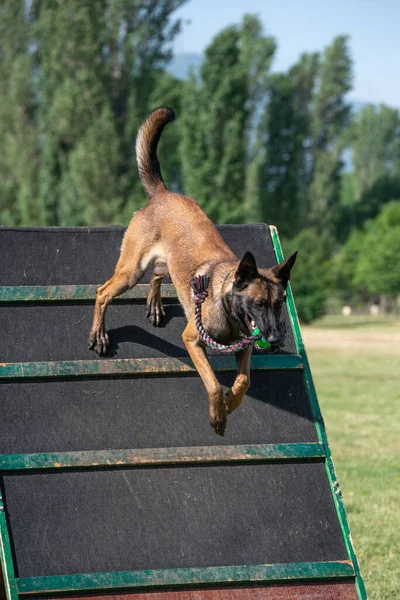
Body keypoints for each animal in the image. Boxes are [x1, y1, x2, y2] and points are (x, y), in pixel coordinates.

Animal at [90, 106, 296, 436]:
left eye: (279, 305)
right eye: (258, 304)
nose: (276, 340)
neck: (227, 305)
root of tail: (162, 194)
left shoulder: (244, 349)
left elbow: (244, 380)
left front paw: (232, 401)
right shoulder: (192, 340)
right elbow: (211, 383)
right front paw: (219, 414)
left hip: (162, 262)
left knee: (159, 273)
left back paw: (155, 305)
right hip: (130, 270)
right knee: (103, 292)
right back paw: (99, 334)